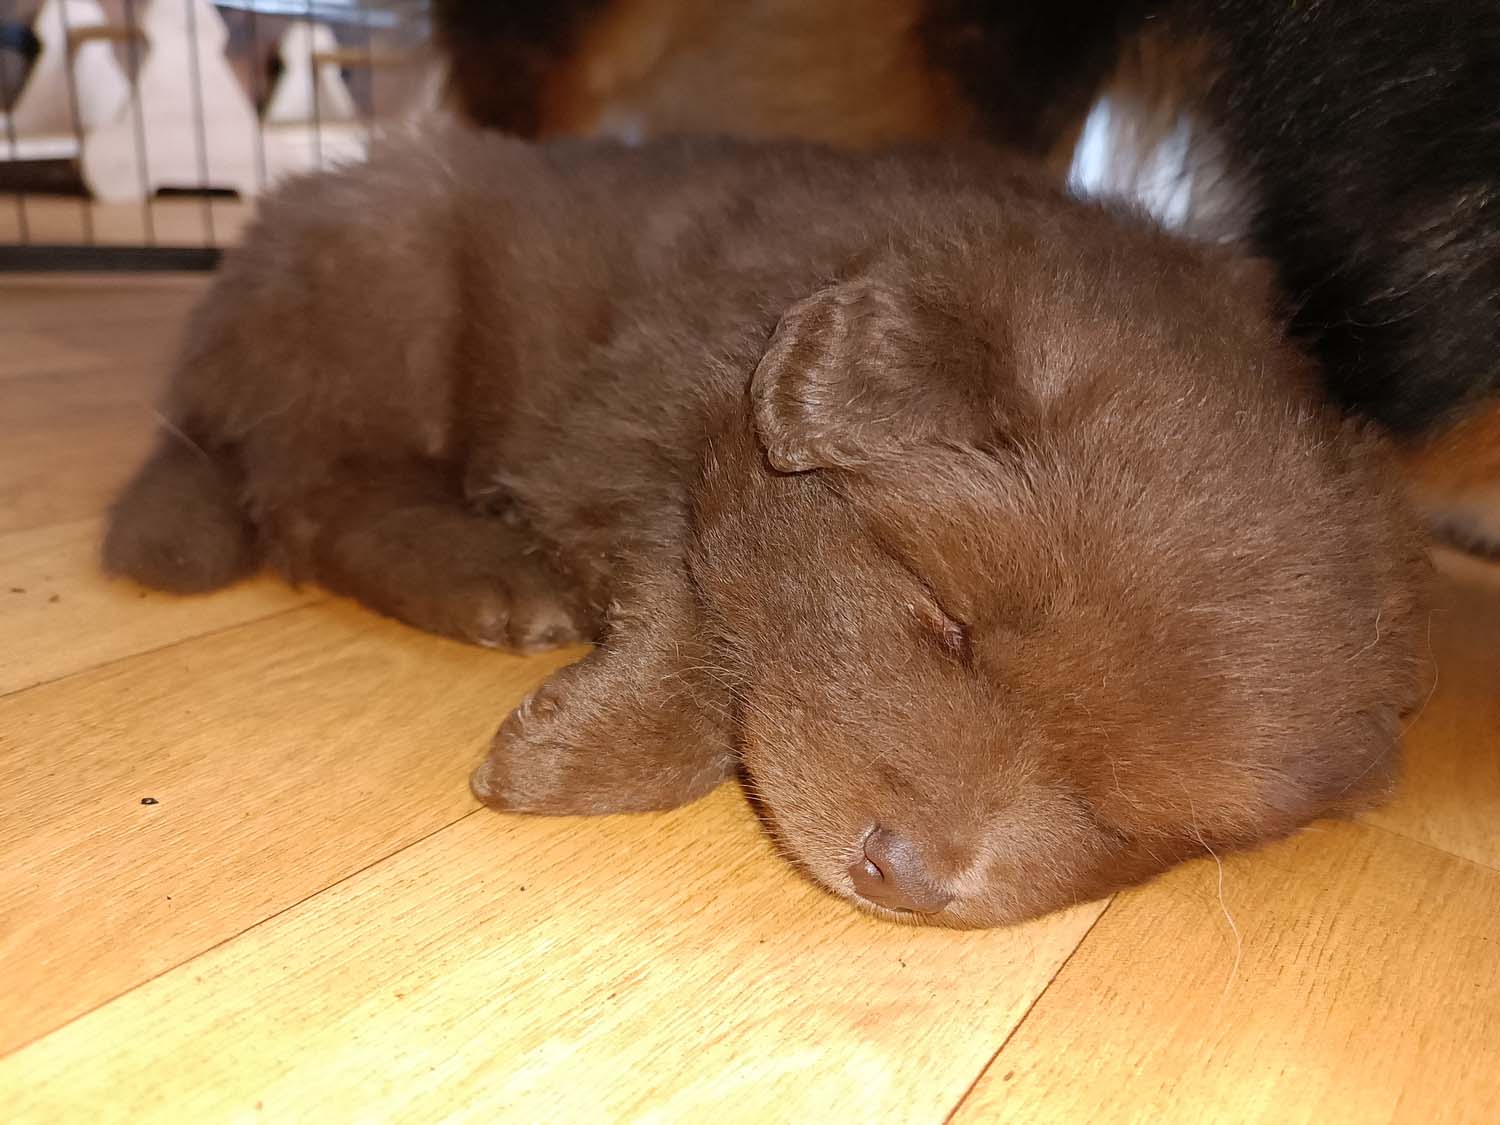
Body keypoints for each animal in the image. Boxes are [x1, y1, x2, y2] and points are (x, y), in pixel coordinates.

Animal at [103, 127, 1428, 927]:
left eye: (1138, 816)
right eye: (947, 626)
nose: (911, 879)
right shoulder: (626, 417)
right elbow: (701, 606)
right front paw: (581, 749)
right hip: (388, 289)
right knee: (307, 490)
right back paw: (485, 578)